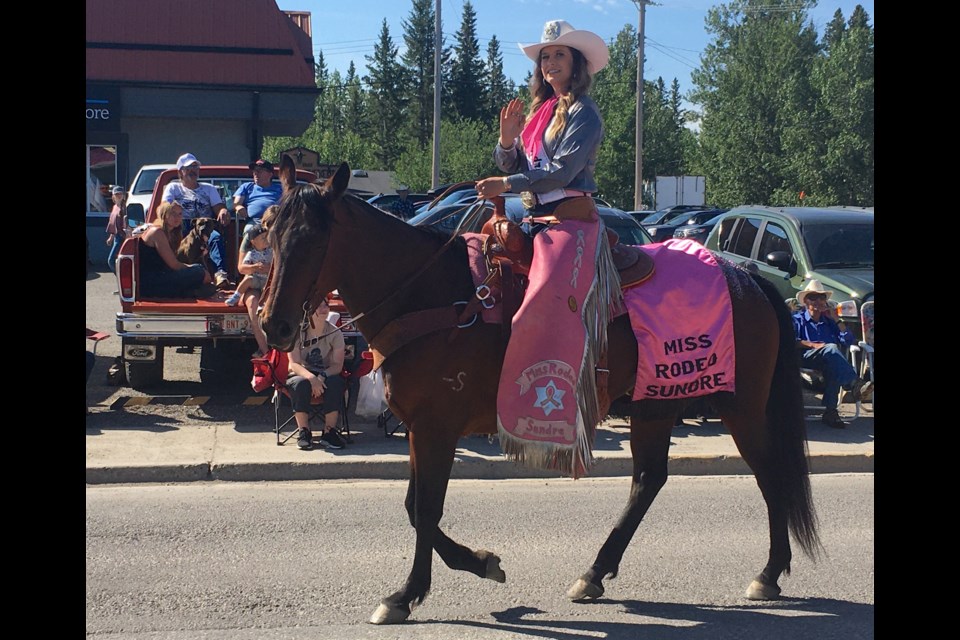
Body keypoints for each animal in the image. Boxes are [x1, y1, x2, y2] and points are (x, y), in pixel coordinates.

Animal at [258, 156, 820, 624]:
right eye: (268, 233)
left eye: (314, 239)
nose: (274, 325)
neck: (434, 296)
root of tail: (746, 277)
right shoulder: (420, 426)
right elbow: (416, 507)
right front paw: (480, 562)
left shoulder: (436, 427)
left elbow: (425, 509)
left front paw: (408, 594)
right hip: (653, 405)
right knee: (648, 480)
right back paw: (595, 572)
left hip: (741, 408)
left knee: (770, 474)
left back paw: (769, 573)